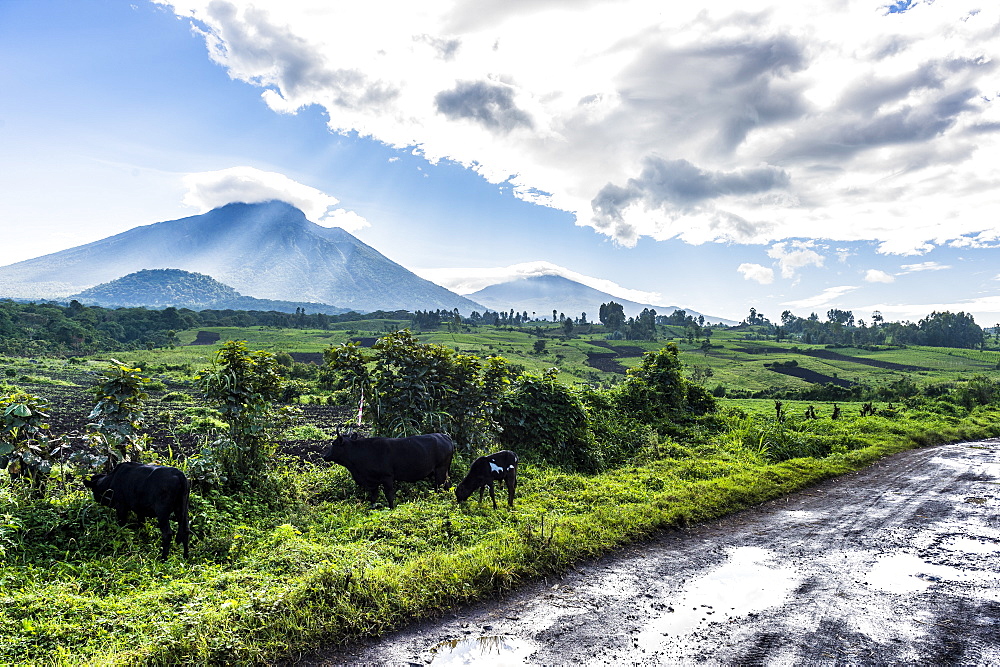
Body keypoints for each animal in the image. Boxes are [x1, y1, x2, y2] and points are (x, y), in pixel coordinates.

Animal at [322, 430, 456, 508]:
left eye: (334, 444)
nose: (324, 456)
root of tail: (443, 436)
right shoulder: (372, 481)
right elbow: (373, 497)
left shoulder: (387, 477)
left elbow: (389, 496)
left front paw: (391, 508)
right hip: (443, 471)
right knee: (448, 485)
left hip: (440, 470)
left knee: (440, 487)